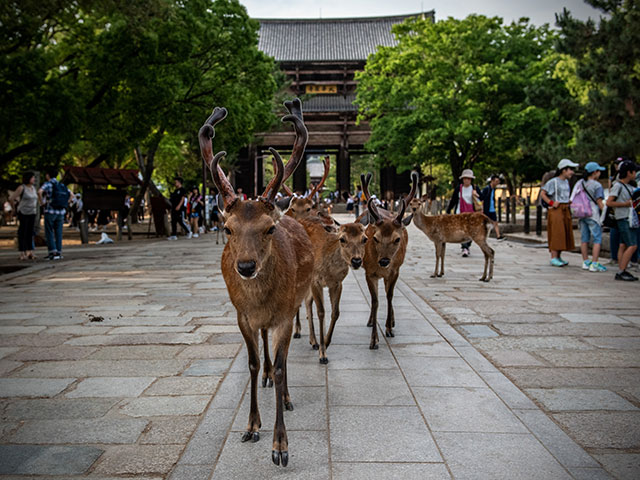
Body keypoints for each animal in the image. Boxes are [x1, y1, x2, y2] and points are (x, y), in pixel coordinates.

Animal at [198, 99, 312, 466]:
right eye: (228, 228)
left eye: (269, 228)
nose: (246, 266)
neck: (261, 301)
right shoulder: (242, 316)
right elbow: (252, 362)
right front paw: (250, 427)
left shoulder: (285, 314)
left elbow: (281, 366)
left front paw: (281, 447)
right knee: (264, 354)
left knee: (282, 360)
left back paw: (286, 397)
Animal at [362, 172, 418, 348]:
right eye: (375, 238)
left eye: (397, 239)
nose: (384, 261)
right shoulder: (369, 272)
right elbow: (375, 301)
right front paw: (374, 340)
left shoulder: (394, 272)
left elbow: (390, 296)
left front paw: (388, 328)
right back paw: (371, 321)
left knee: (388, 293)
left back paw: (392, 322)